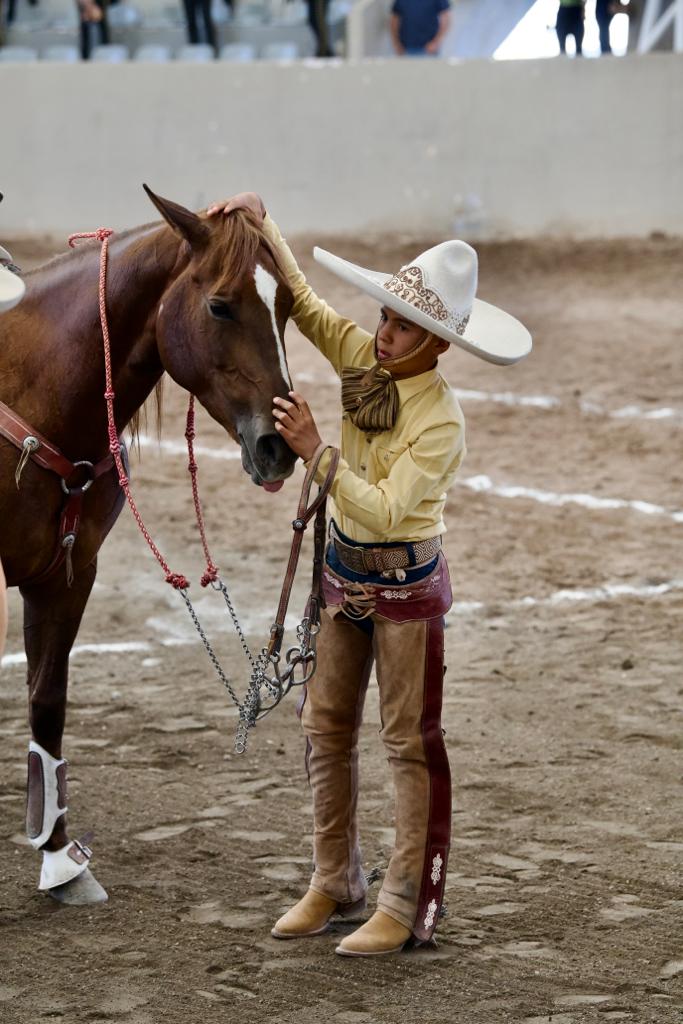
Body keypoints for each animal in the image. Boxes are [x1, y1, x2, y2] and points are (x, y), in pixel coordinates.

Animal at [1, 184, 296, 905]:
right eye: (220, 304)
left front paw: (61, 860)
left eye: (287, 305)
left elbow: (46, 702)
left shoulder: (67, 575)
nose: (278, 447)